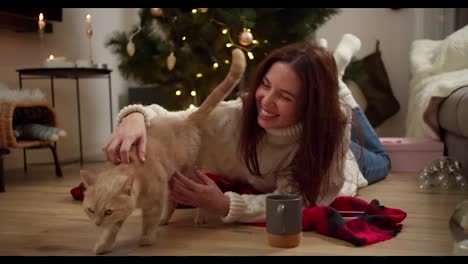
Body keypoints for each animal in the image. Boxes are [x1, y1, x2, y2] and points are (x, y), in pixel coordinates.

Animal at [79, 48, 249, 255]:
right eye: (91, 210)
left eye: (108, 211)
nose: (96, 223)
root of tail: (185, 119)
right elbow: (110, 231)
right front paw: (103, 244)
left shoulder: (154, 201)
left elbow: (149, 222)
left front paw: (146, 239)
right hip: (172, 178)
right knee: (172, 201)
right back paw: (165, 219)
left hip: (188, 174)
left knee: (200, 192)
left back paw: (199, 216)